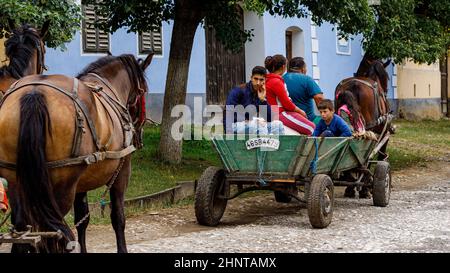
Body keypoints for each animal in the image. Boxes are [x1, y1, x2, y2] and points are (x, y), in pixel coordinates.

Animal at [0, 52, 153, 252]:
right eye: (144, 91)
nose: (139, 134)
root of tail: (34, 92)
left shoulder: (81, 183)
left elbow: (83, 219)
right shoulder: (122, 173)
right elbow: (118, 217)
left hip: (16, 182)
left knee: (23, 229)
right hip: (60, 188)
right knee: (52, 232)